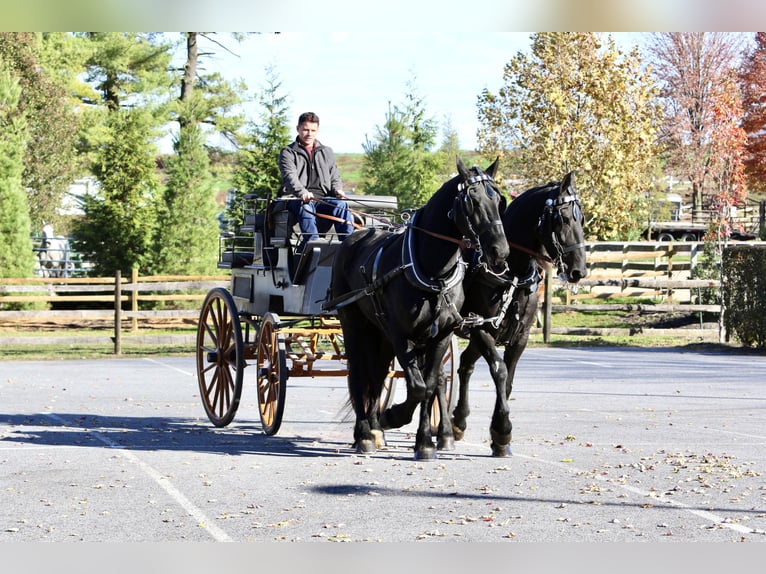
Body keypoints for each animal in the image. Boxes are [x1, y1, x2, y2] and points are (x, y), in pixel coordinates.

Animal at [327, 158, 510, 460]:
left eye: (499, 200)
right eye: (472, 201)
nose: (500, 251)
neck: (432, 272)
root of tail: (353, 239)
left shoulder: (441, 336)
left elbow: (430, 384)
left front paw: (424, 442)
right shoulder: (401, 335)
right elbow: (418, 387)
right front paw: (394, 416)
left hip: (380, 334)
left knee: (377, 375)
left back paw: (375, 430)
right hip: (354, 325)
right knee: (359, 374)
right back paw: (364, 434)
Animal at [450, 171, 587, 456]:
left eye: (582, 218)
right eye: (563, 218)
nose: (579, 270)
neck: (511, 272)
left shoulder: (519, 336)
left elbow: (508, 381)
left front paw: (499, 436)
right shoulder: (480, 328)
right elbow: (499, 371)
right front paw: (502, 431)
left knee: (466, 365)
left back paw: (459, 420)